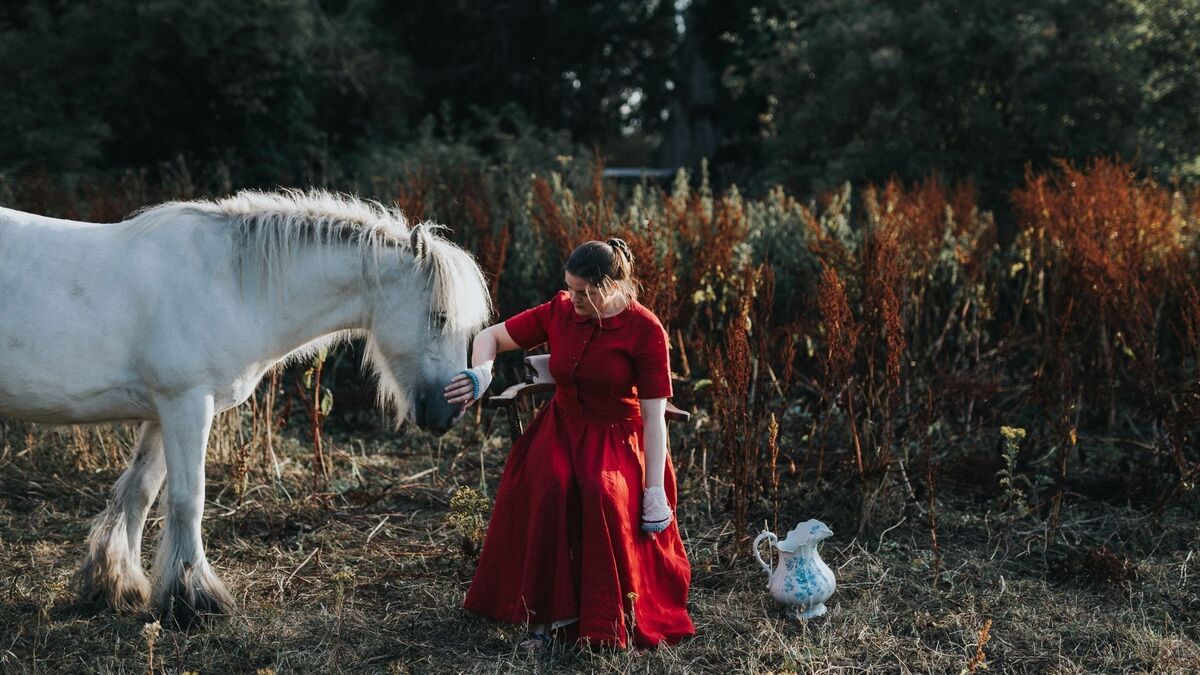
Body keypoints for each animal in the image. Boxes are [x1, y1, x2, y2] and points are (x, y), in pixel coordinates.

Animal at [0, 187, 492, 619]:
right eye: (440, 317)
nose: (450, 410)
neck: (230, 286)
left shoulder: (162, 413)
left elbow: (139, 492)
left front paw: (117, 586)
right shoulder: (186, 406)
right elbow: (188, 500)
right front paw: (195, 598)